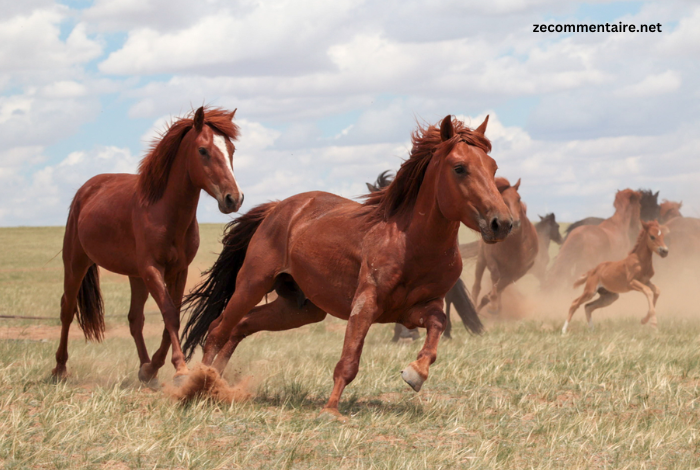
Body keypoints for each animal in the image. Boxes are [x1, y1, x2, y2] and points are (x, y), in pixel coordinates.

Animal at [52, 104, 243, 384]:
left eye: (231, 150)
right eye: (203, 150)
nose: (234, 198)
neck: (164, 211)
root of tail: (86, 189)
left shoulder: (178, 271)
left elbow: (171, 315)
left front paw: (154, 366)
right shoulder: (153, 269)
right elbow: (169, 314)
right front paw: (180, 369)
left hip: (135, 276)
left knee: (135, 319)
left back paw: (144, 369)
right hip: (76, 262)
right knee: (67, 309)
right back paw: (59, 368)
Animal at [179, 115, 508, 416]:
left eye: (493, 168)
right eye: (459, 168)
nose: (502, 223)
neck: (411, 242)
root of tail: (277, 208)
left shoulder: (413, 310)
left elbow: (438, 323)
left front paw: (415, 373)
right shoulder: (365, 304)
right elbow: (349, 360)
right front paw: (331, 410)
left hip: (300, 309)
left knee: (241, 326)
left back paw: (217, 385)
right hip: (252, 284)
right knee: (218, 329)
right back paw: (197, 387)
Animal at [474, 176, 540, 312]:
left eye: (518, 199)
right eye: (503, 200)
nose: (515, 222)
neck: (514, 245)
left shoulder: (517, 272)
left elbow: (500, 286)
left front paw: (491, 303)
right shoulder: (491, 258)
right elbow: (494, 275)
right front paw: (492, 304)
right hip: (481, 259)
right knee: (476, 286)